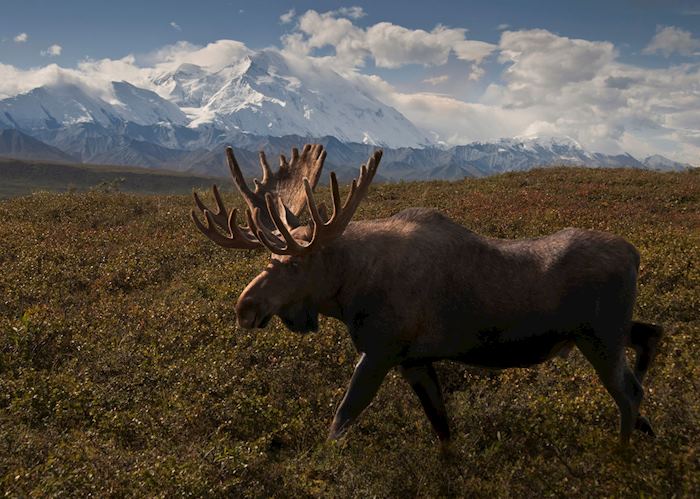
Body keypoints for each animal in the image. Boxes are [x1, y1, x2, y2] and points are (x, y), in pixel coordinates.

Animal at [190, 143, 663, 449]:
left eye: (293, 264)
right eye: (269, 256)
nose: (245, 307)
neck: (349, 287)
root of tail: (635, 254)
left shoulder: (381, 352)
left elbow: (340, 423)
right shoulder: (415, 360)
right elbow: (443, 431)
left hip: (599, 337)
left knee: (630, 392)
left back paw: (623, 456)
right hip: (599, 332)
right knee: (651, 335)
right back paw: (647, 430)